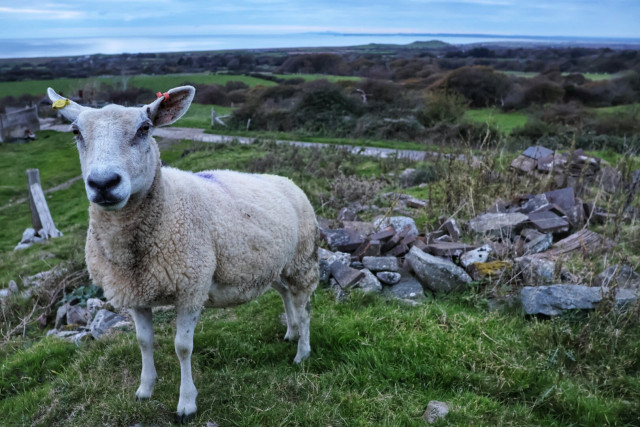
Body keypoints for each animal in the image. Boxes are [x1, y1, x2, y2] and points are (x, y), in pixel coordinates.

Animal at [47, 86, 319, 422]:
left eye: (144, 129)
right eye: (75, 132)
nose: (103, 183)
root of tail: (286, 180)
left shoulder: (191, 287)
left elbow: (182, 347)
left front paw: (187, 403)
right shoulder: (134, 292)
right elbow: (143, 341)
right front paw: (145, 388)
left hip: (303, 260)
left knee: (304, 306)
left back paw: (302, 352)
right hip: (277, 265)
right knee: (285, 295)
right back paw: (291, 333)